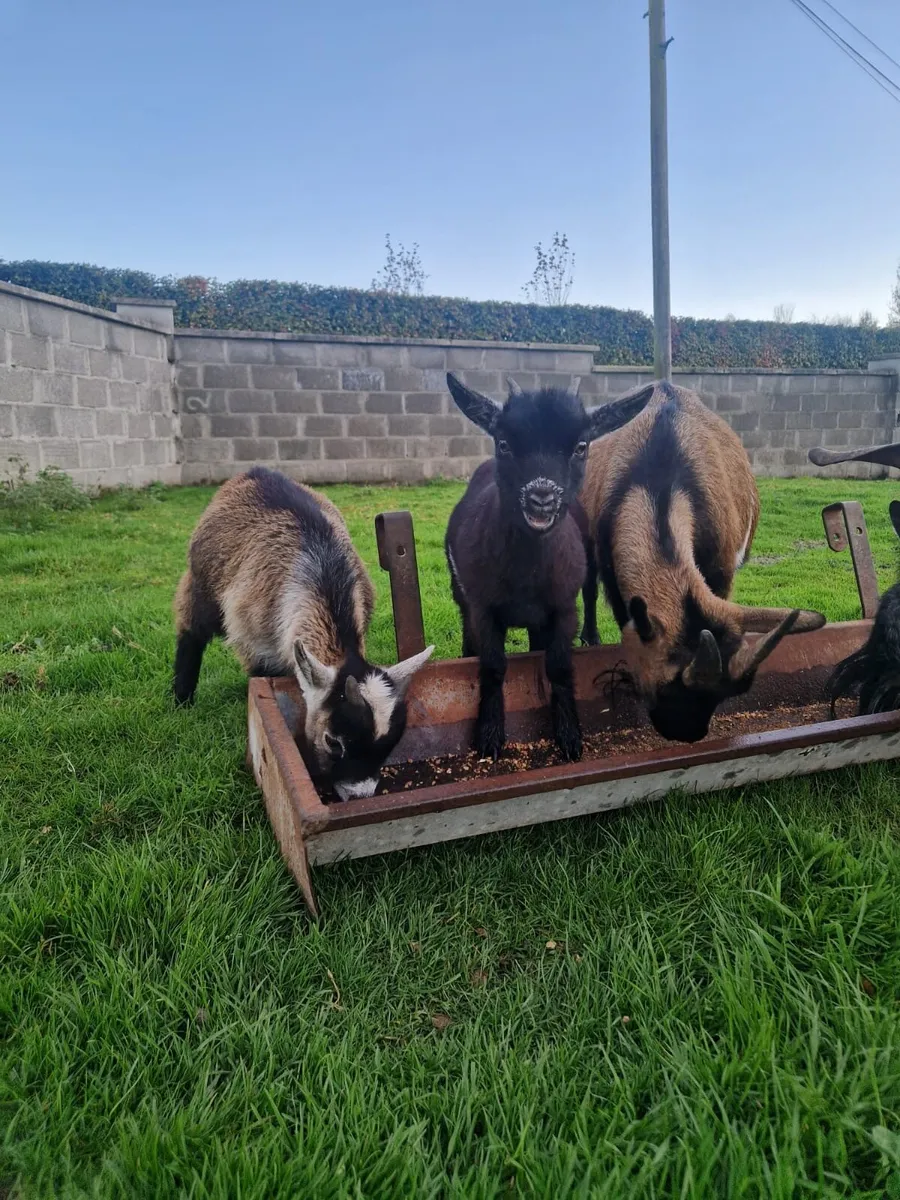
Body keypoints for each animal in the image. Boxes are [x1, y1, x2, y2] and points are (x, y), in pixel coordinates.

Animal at [172, 466, 433, 800]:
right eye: (333, 741)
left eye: (389, 746)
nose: (358, 796)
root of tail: (255, 472)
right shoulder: (258, 644)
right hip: (203, 582)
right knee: (191, 630)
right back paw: (181, 700)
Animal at [444, 373, 654, 761]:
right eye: (504, 443)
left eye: (581, 446)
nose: (541, 497)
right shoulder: (484, 608)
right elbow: (493, 666)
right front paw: (490, 737)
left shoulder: (562, 607)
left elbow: (558, 665)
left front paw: (570, 738)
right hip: (460, 589)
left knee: (589, 597)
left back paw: (592, 637)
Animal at [581, 380, 826, 743]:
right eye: (666, 688)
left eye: (732, 694)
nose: (688, 734)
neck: (660, 481)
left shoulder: (721, 568)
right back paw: (590, 637)